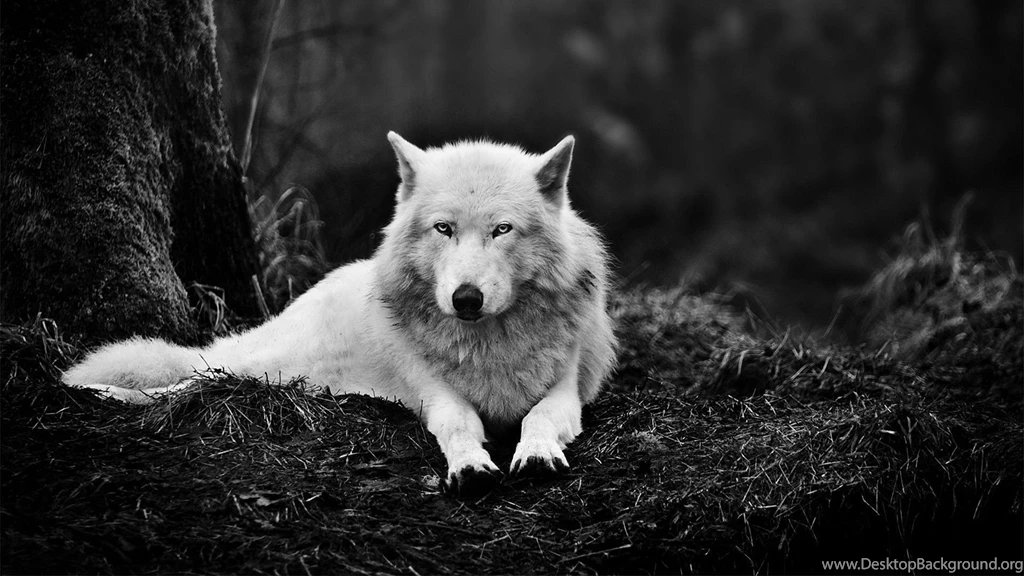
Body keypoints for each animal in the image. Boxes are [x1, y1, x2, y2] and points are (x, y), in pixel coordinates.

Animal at [64, 132, 617, 495]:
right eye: (444, 229)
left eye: (502, 229)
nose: (466, 298)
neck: (487, 343)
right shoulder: (436, 395)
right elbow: (459, 425)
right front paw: (469, 467)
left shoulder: (566, 391)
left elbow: (540, 416)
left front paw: (536, 453)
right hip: (262, 367)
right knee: (188, 379)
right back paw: (95, 390)